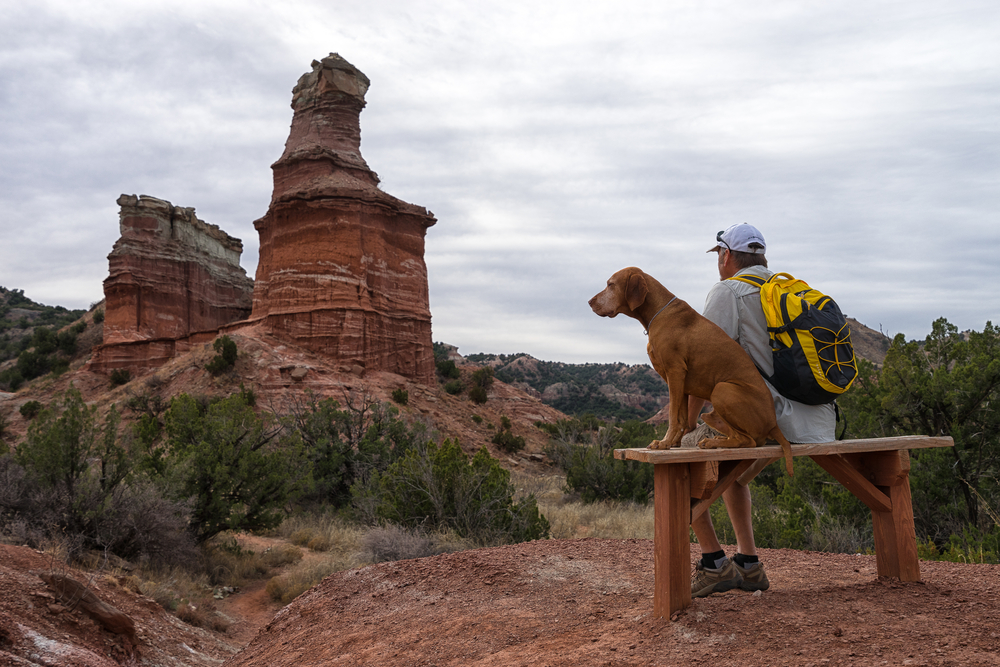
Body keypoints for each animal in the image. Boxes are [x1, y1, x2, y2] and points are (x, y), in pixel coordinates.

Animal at [588, 266, 792, 474]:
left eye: (611, 284)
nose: (589, 302)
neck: (658, 313)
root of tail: (774, 423)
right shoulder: (683, 384)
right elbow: (682, 417)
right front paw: (674, 442)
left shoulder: (675, 372)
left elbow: (672, 416)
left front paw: (664, 443)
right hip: (710, 412)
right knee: (740, 436)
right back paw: (718, 440)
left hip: (722, 389)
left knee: (750, 441)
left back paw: (712, 443)